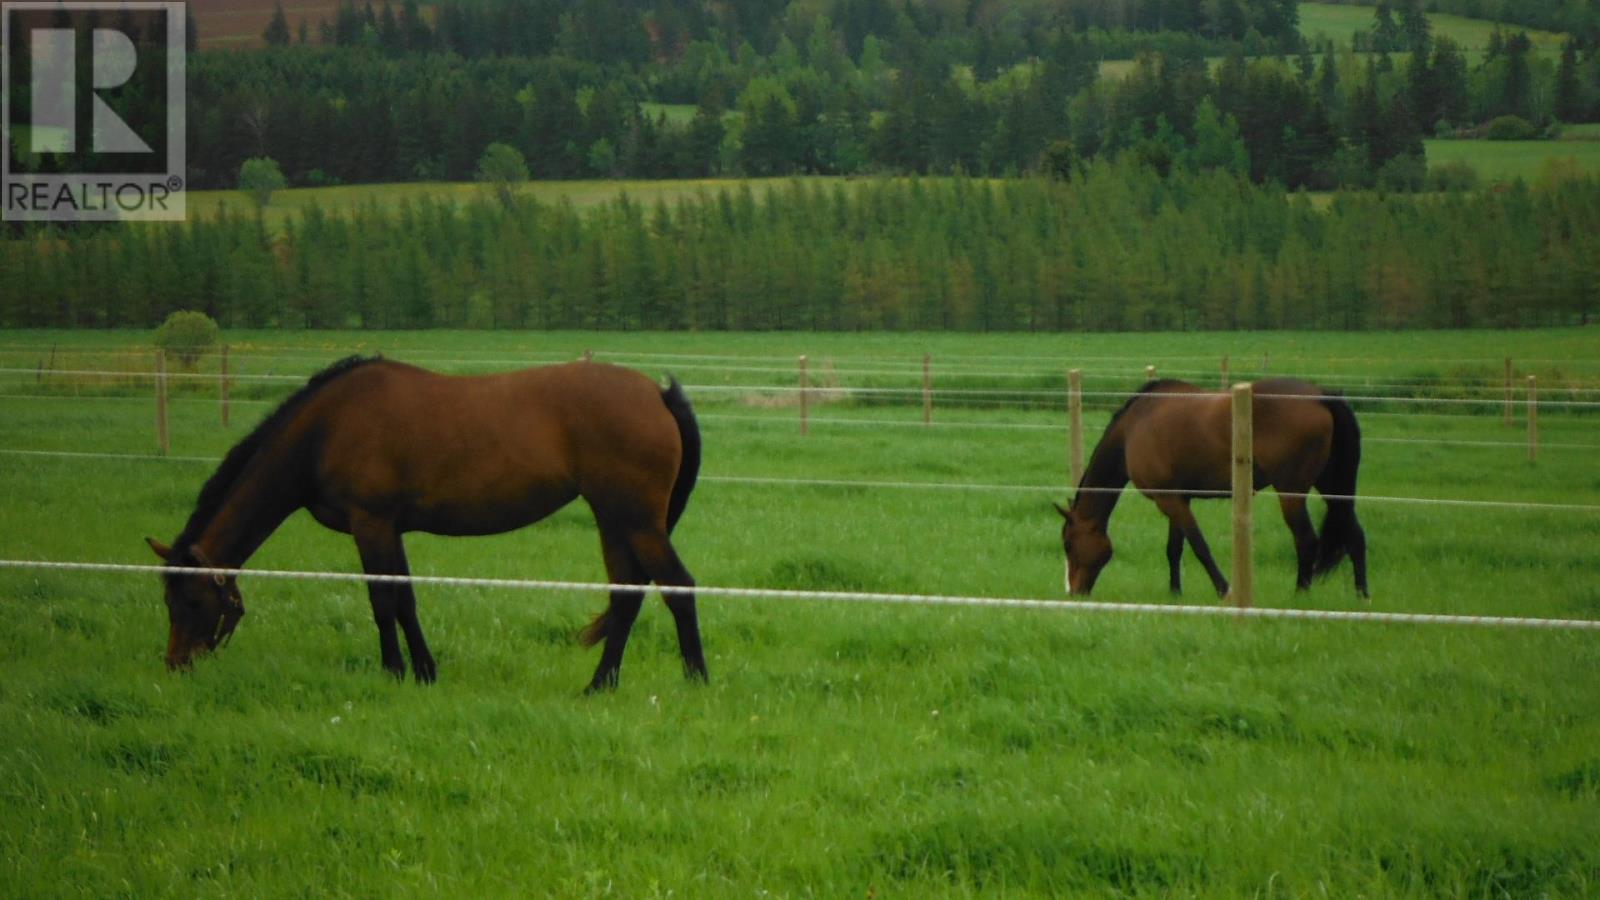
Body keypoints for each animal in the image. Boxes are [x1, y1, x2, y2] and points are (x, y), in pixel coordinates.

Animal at [145, 353, 707, 688]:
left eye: (191, 599)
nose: (175, 664)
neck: (327, 427)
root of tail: (656, 394)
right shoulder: (390, 528)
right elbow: (405, 599)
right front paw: (424, 670)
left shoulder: (370, 523)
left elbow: (382, 600)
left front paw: (395, 670)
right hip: (613, 519)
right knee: (627, 594)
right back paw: (598, 685)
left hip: (636, 520)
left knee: (678, 586)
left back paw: (695, 678)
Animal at [1056, 376, 1369, 595]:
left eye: (1069, 544)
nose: (1074, 592)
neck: (1134, 428)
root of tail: (1321, 397)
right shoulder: (1177, 499)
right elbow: (1174, 549)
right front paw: (1175, 593)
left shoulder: (1169, 501)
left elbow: (1199, 546)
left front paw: (1224, 589)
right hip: (1332, 488)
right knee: (1355, 536)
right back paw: (1361, 596)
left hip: (1291, 493)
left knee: (1306, 542)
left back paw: (1300, 595)